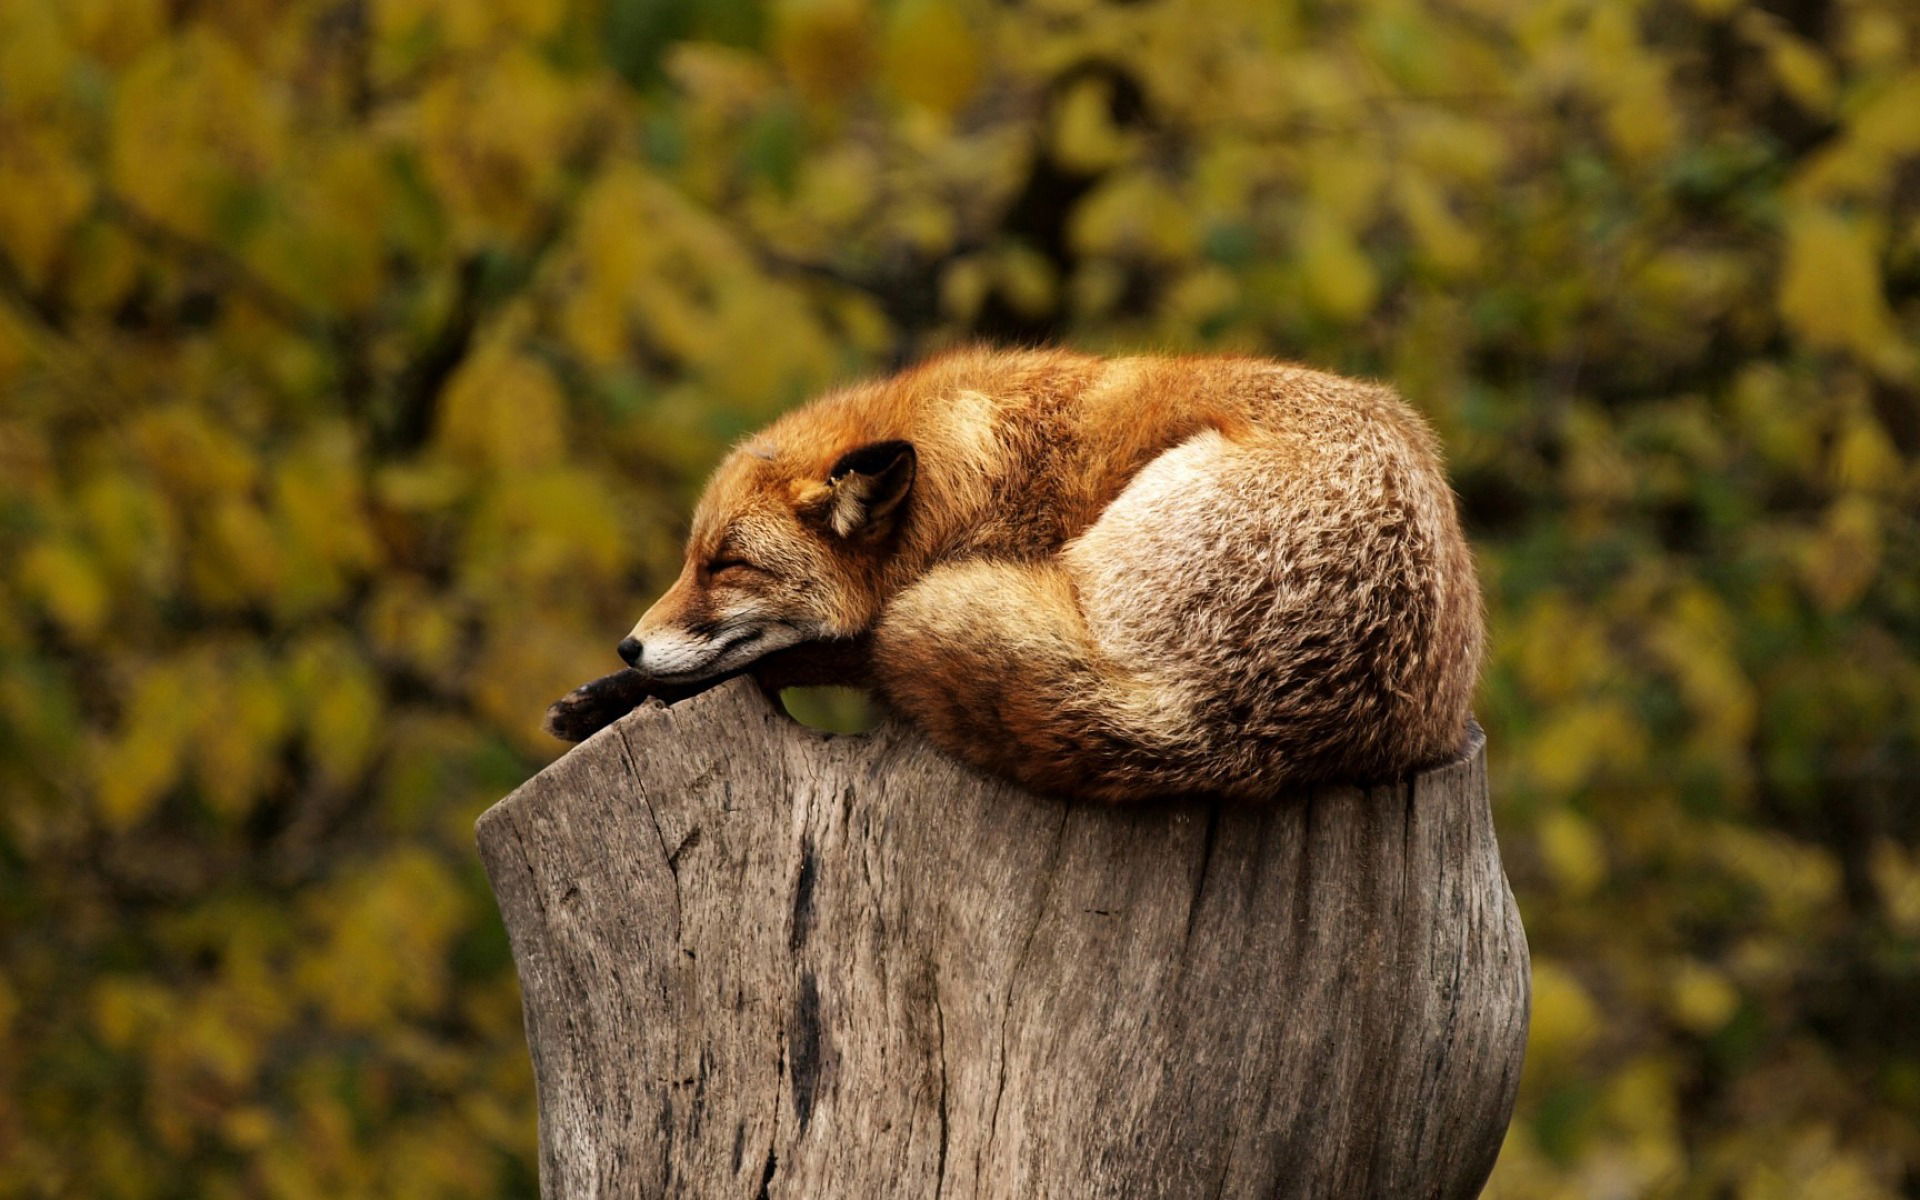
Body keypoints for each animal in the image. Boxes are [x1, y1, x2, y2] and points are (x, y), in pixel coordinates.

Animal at [545, 341, 1482, 798]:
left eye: (727, 565)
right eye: (690, 559)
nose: (629, 645)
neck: (969, 474)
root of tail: (1213, 723)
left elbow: (797, 655)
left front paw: (618, 693)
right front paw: (605, 694)